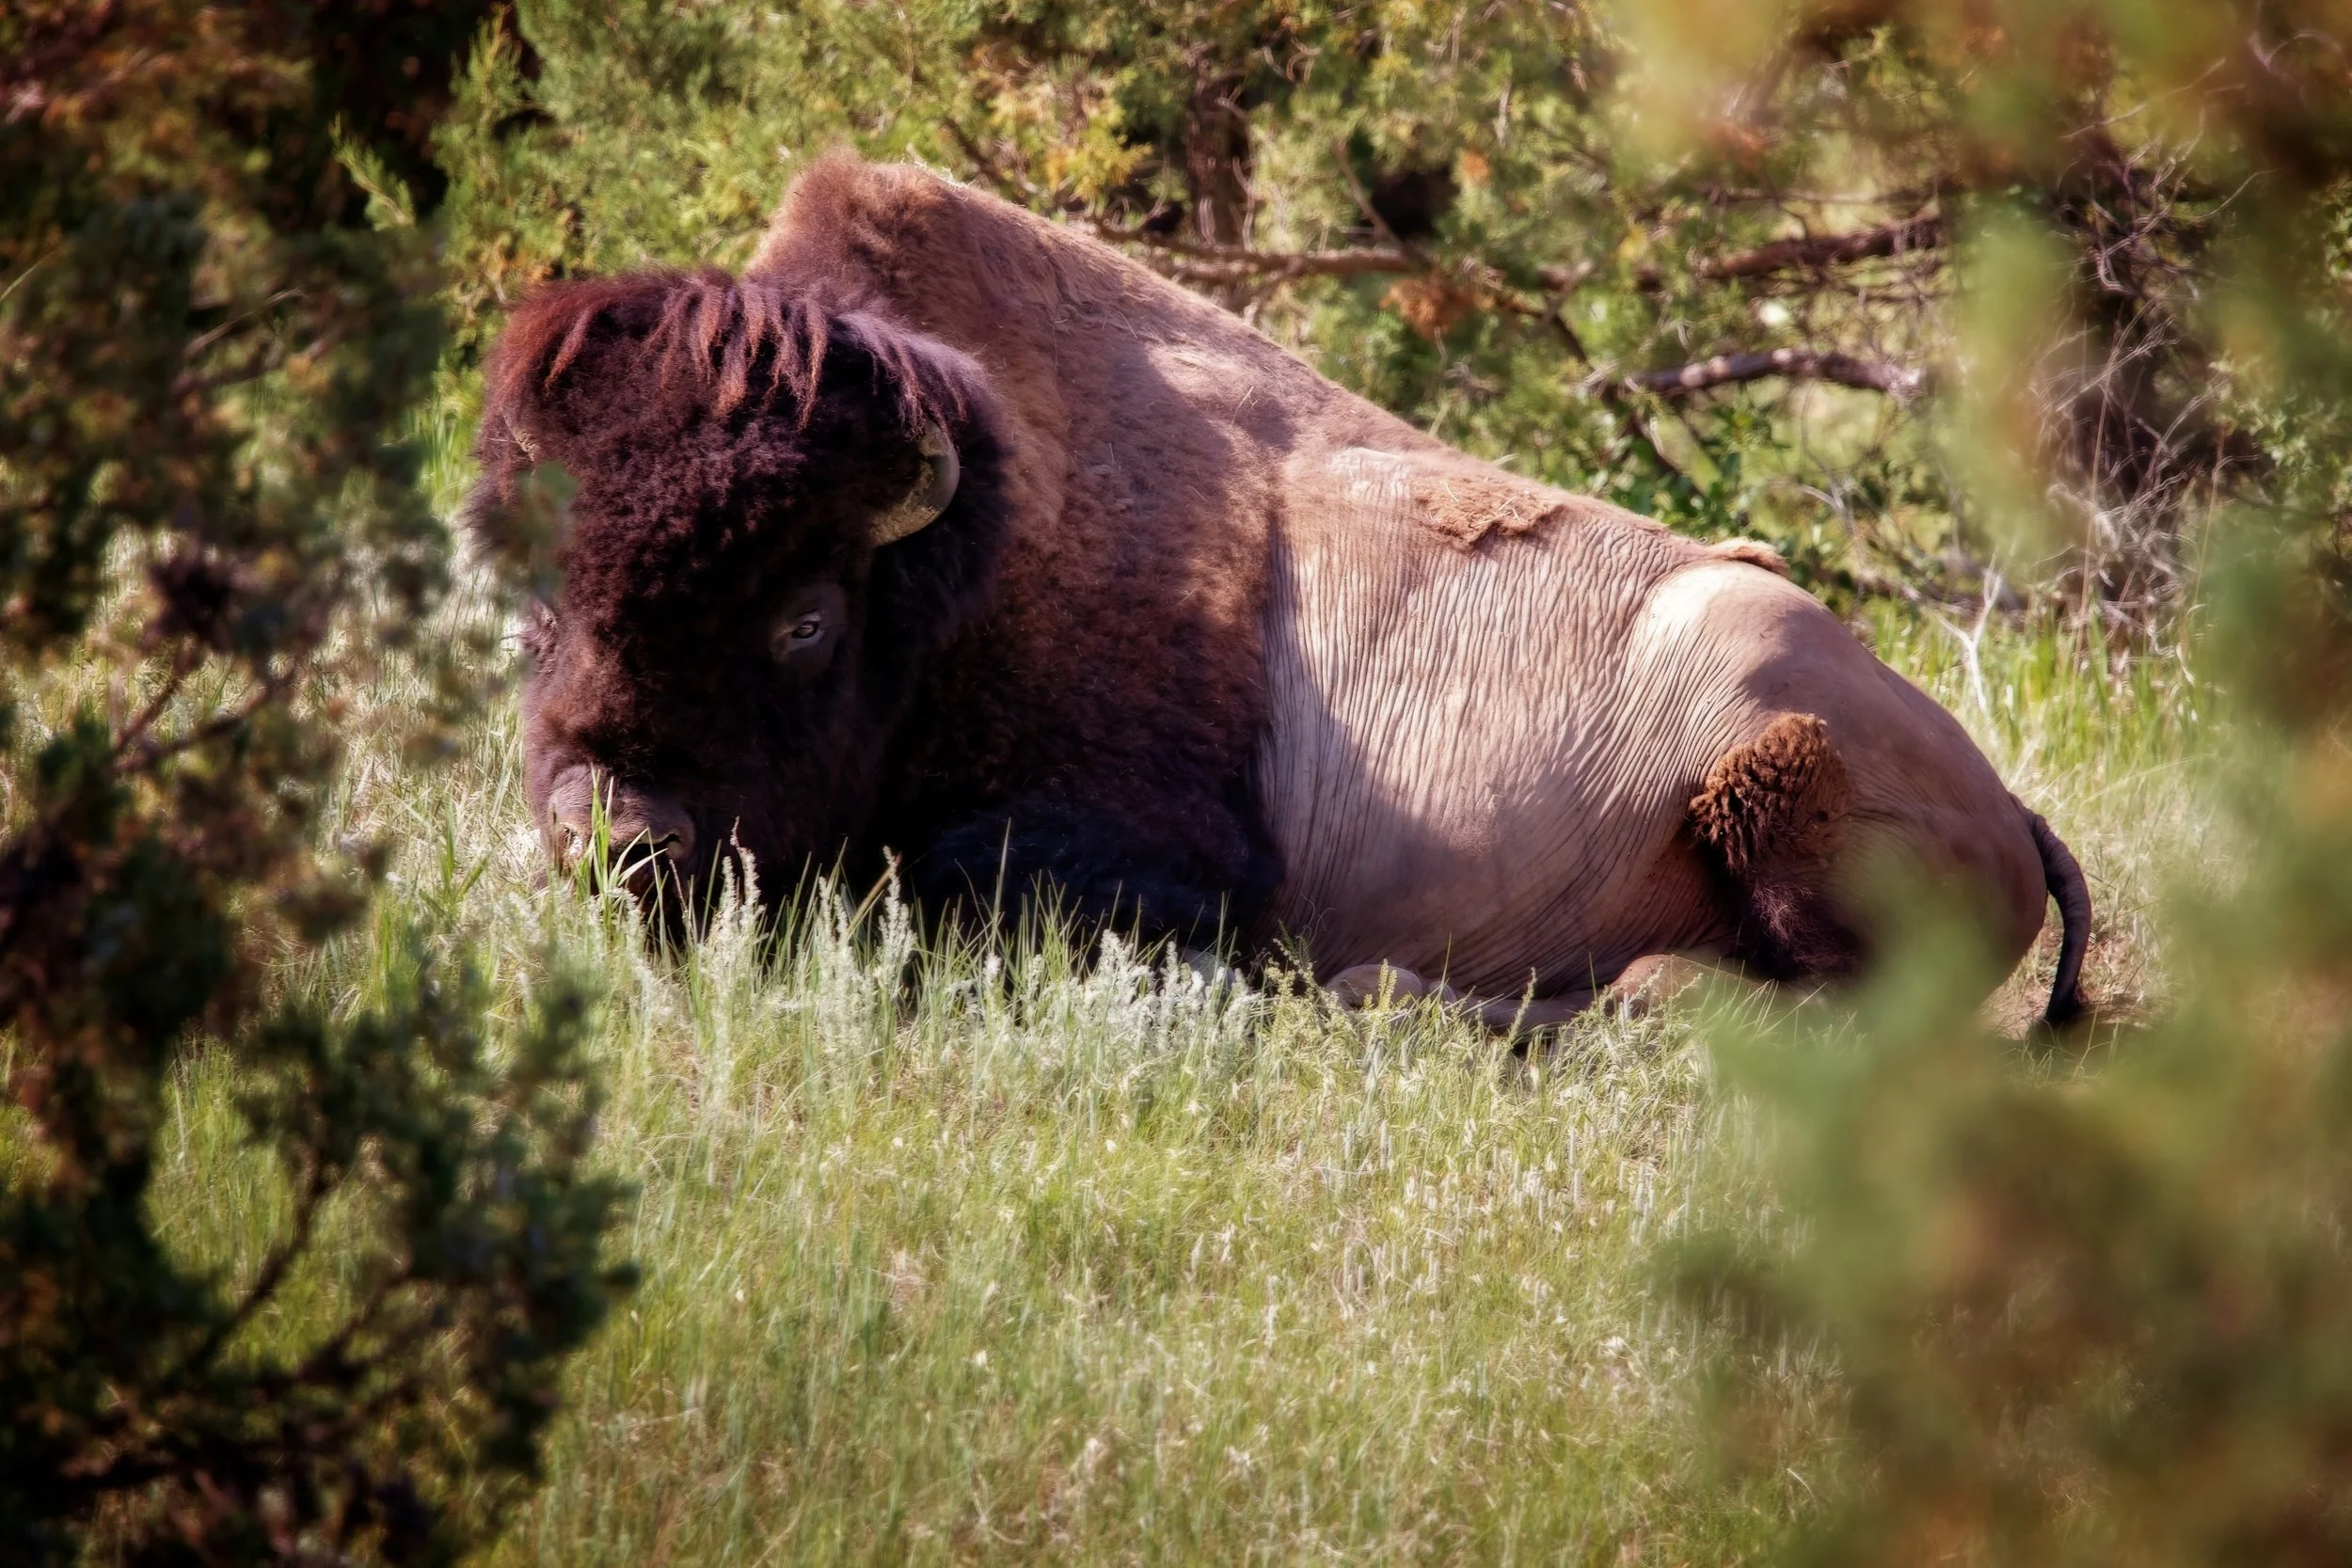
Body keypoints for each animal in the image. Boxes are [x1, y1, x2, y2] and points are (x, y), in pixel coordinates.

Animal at [463, 153, 2089, 1026]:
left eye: (803, 617)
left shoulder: (1157, 856)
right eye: (534, 608)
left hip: (1772, 773)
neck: (962, 561)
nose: (616, 834)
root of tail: (2012, 806)